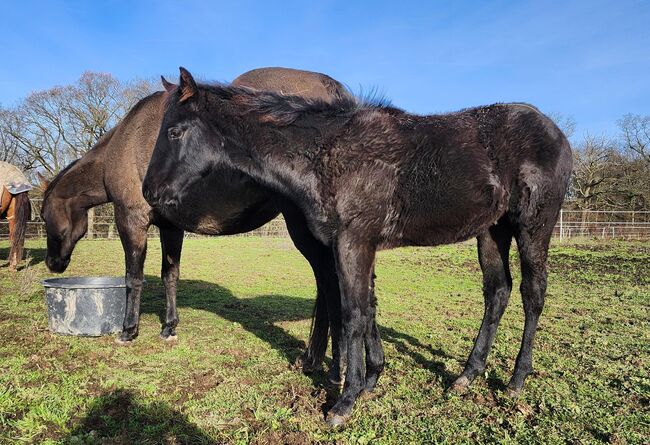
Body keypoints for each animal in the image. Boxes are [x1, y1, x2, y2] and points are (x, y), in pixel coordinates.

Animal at [40, 67, 351, 381]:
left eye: (42, 214)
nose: (52, 263)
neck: (123, 143)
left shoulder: (131, 221)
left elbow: (133, 277)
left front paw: (129, 330)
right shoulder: (170, 227)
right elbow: (170, 275)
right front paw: (169, 327)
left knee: (330, 284)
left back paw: (332, 366)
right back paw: (312, 360)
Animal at [142, 68, 573, 426]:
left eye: (175, 131)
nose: (149, 192)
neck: (327, 155)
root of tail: (558, 134)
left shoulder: (354, 241)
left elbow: (351, 315)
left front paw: (344, 402)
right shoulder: (349, 246)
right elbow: (366, 309)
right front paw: (369, 380)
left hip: (533, 226)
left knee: (533, 293)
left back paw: (516, 379)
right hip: (492, 231)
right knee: (497, 292)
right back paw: (467, 375)